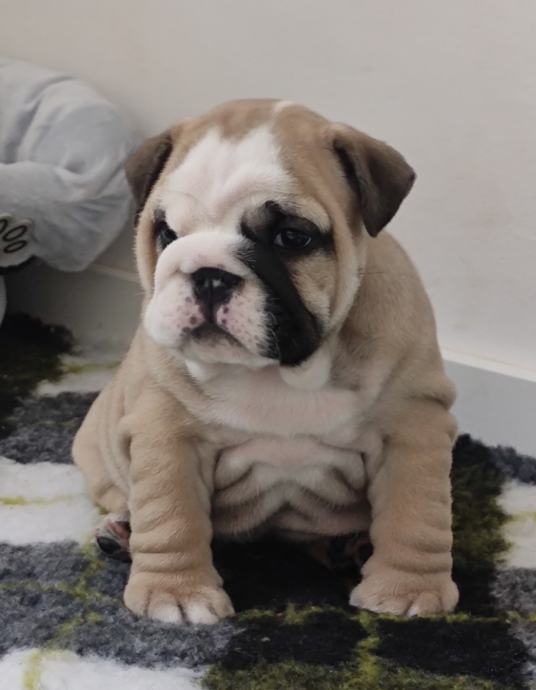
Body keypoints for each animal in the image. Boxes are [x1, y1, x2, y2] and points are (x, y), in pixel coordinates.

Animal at [73, 99, 459, 624]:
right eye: (167, 233)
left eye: (291, 237)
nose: (209, 273)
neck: (283, 372)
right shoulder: (167, 434)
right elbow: (172, 515)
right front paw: (177, 594)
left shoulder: (411, 425)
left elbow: (414, 512)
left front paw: (407, 591)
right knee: (126, 498)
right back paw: (124, 533)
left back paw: (350, 547)